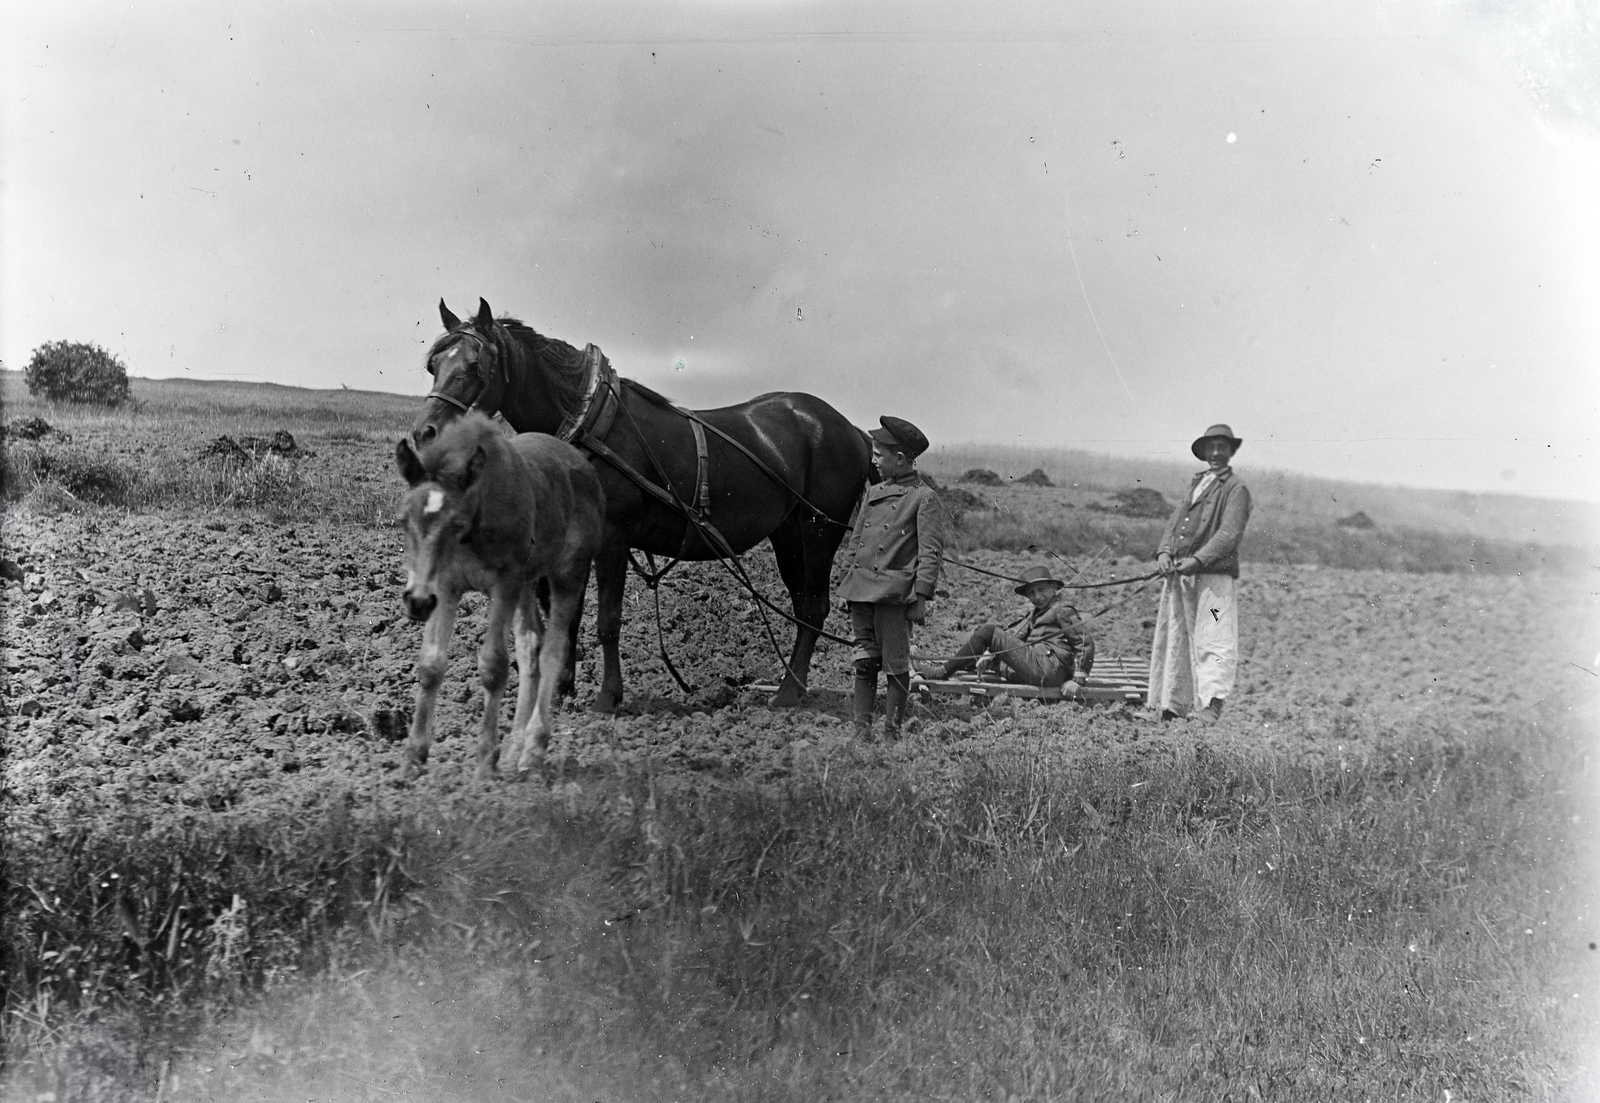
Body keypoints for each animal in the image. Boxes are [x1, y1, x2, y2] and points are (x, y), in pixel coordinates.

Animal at [395, 408, 604, 778]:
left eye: (456, 524)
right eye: (403, 521)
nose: (417, 602)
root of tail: (584, 467)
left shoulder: (505, 582)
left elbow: (494, 666)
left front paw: (484, 763)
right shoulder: (446, 587)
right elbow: (431, 665)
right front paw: (414, 758)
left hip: (567, 575)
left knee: (553, 652)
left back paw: (532, 751)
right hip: (527, 583)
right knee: (531, 646)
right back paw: (514, 749)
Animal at [406, 299, 870, 713]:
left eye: (475, 367)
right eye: (433, 365)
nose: (425, 435)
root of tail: (852, 429)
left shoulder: (613, 539)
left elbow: (608, 621)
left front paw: (608, 698)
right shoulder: (575, 541)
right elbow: (568, 615)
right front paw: (559, 690)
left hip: (819, 530)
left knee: (815, 607)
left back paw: (788, 693)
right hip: (788, 534)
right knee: (803, 607)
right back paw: (794, 686)